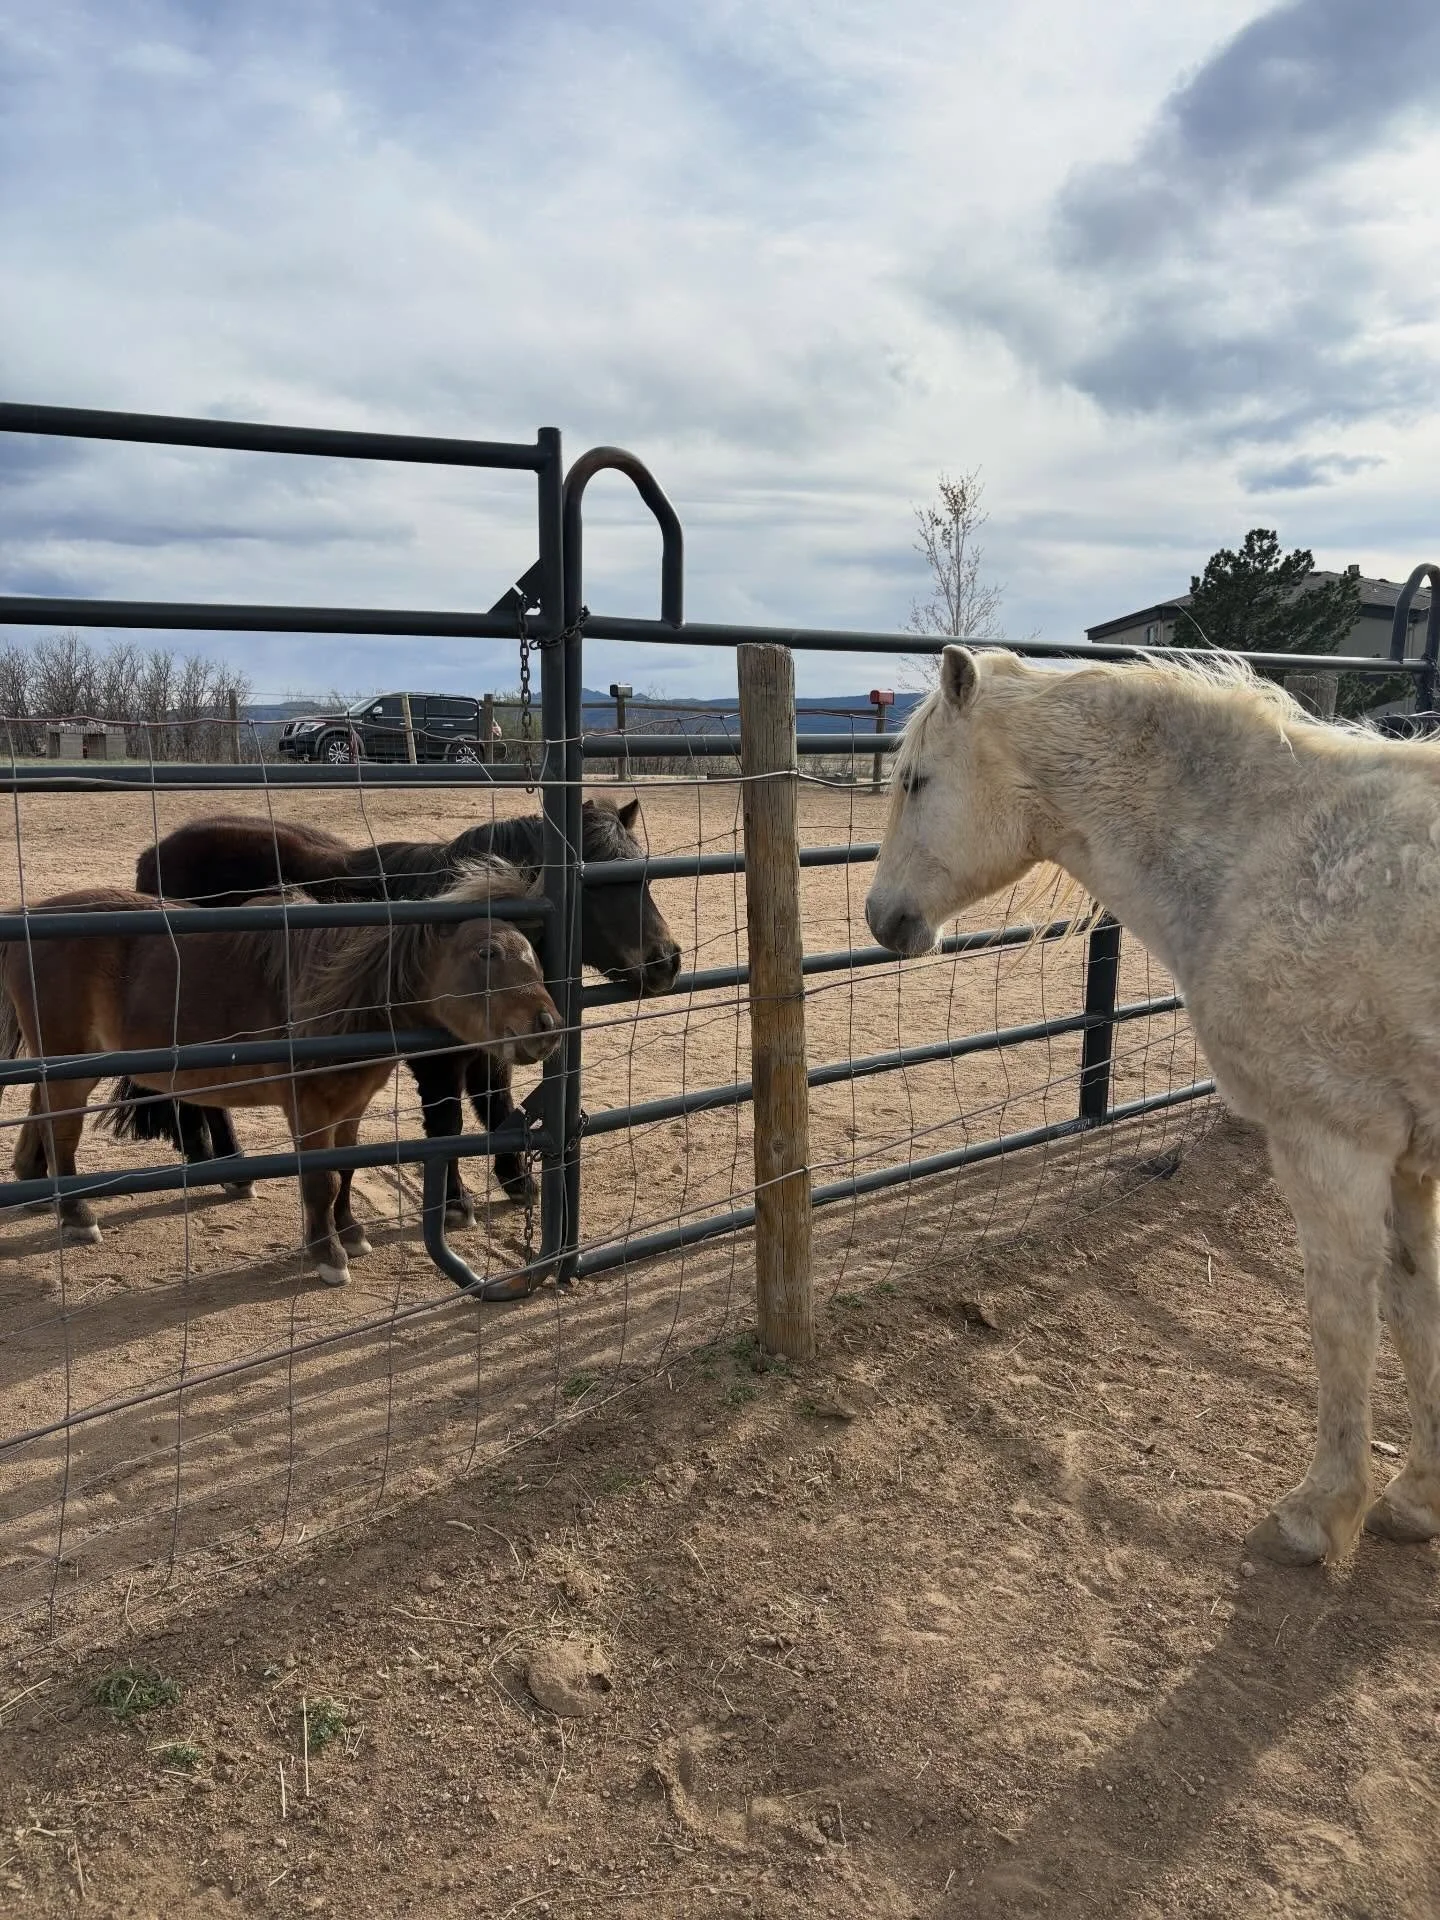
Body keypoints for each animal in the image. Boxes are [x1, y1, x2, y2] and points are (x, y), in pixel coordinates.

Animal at [0, 862, 560, 1284]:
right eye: (486, 952)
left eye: (532, 954)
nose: (548, 1027)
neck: (336, 997)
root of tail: (27, 920)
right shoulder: (309, 1108)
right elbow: (321, 1180)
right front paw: (328, 1255)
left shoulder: (349, 1107)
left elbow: (346, 1171)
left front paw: (349, 1234)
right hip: (72, 1067)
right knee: (61, 1132)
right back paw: (77, 1215)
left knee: (40, 1115)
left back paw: (37, 1190)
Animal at [108, 797, 682, 1225]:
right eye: (594, 882)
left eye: (647, 875)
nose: (666, 962)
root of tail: (152, 856)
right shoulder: (436, 1061)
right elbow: (446, 1124)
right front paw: (455, 1204)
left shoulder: (491, 1048)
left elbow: (497, 1108)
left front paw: (518, 1181)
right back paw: (231, 1168)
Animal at [866, 643, 1440, 1566]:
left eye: (916, 780)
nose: (883, 918)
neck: (1265, 850)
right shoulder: (1407, 1164)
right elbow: (1418, 1311)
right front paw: (1417, 1498)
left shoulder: (1332, 1145)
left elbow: (1343, 1319)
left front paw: (1319, 1513)